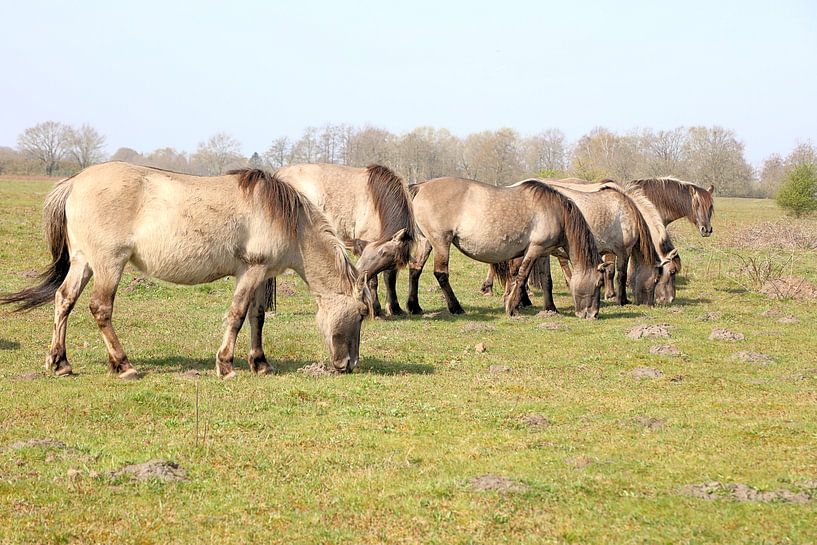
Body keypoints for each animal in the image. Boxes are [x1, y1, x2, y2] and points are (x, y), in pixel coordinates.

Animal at [0, 163, 370, 378]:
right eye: (363, 313)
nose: (350, 365)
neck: (287, 219)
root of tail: (76, 181)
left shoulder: (261, 274)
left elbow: (257, 317)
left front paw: (261, 363)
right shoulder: (251, 271)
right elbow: (237, 315)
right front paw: (225, 365)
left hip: (83, 262)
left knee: (64, 300)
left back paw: (60, 362)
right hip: (109, 263)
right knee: (100, 308)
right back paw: (124, 365)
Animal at [276, 163, 414, 314]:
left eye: (388, 258)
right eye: (382, 252)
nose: (359, 270)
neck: (376, 200)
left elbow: (389, 277)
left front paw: (395, 308)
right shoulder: (365, 242)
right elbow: (373, 281)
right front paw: (375, 308)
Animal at [404, 176, 608, 316]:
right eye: (599, 282)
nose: (593, 314)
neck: (556, 212)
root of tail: (421, 187)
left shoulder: (541, 252)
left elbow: (537, 278)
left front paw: (544, 308)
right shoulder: (534, 249)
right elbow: (522, 275)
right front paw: (512, 307)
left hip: (426, 242)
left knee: (415, 269)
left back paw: (414, 307)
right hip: (441, 242)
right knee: (441, 274)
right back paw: (456, 307)